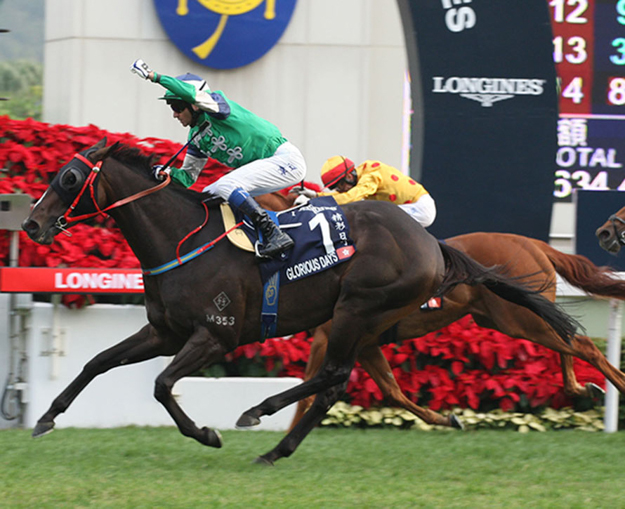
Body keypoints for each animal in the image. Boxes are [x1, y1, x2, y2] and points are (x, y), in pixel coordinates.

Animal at [20, 140, 576, 464]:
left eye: (69, 179)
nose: (30, 224)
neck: (181, 239)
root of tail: (432, 244)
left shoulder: (215, 335)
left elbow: (161, 386)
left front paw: (206, 434)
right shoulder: (164, 331)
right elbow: (96, 362)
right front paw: (47, 417)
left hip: (358, 308)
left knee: (332, 377)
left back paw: (259, 415)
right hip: (362, 323)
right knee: (335, 383)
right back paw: (276, 447)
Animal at [260, 192, 625, 430]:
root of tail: (533, 244)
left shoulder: (332, 335)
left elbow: (308, 393)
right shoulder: (364, 342)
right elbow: (393, 392)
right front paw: (447, 418)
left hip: (520, 320)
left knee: (584, 345)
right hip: (516, 318)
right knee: (570, 338)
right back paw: (582, 388)